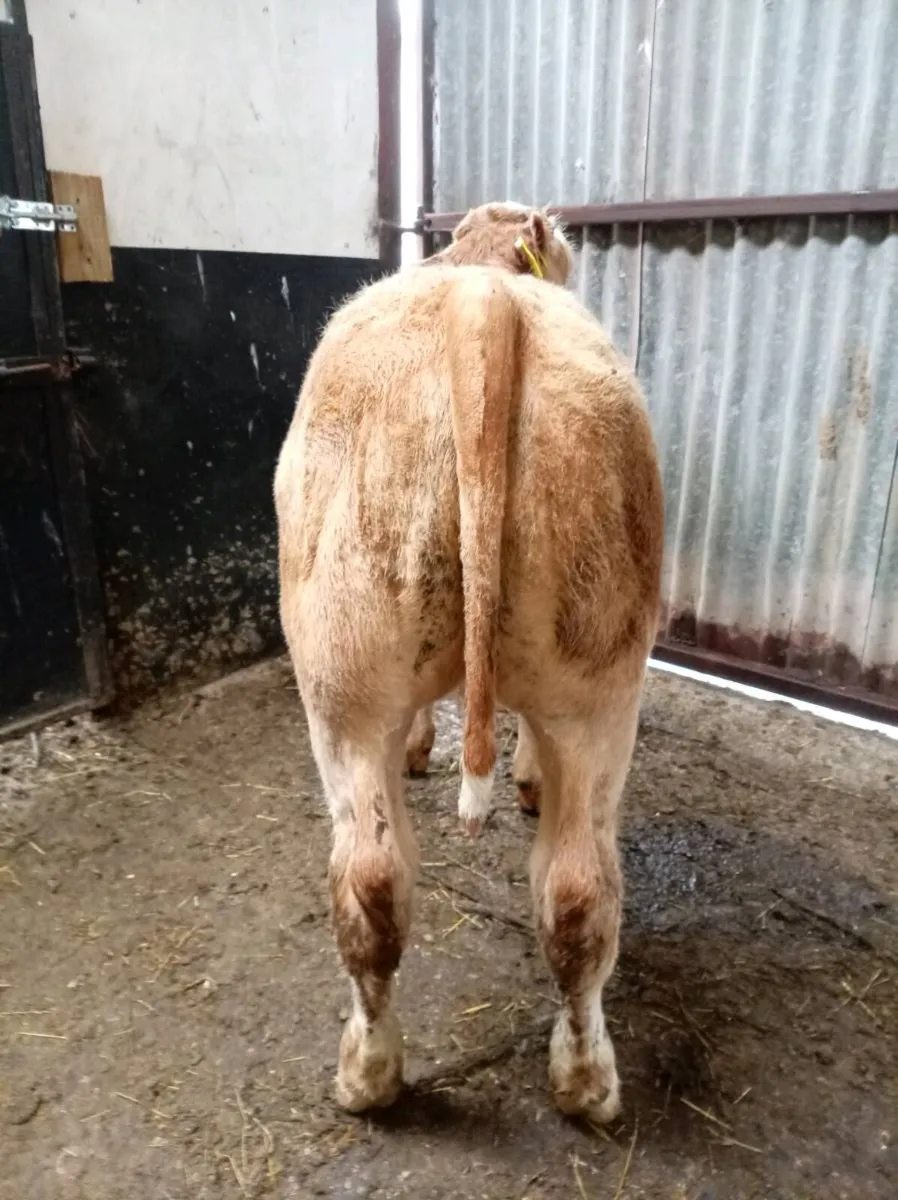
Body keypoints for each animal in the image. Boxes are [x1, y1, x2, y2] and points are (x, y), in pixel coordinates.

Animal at [274, 201, 664, 1124]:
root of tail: (482, 304)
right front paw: (517, 777)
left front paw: (429, 750)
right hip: (594, 686)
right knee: (572, 891)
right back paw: (582, 1082)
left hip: (341, 688)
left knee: (376, 880)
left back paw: (371, 1073)